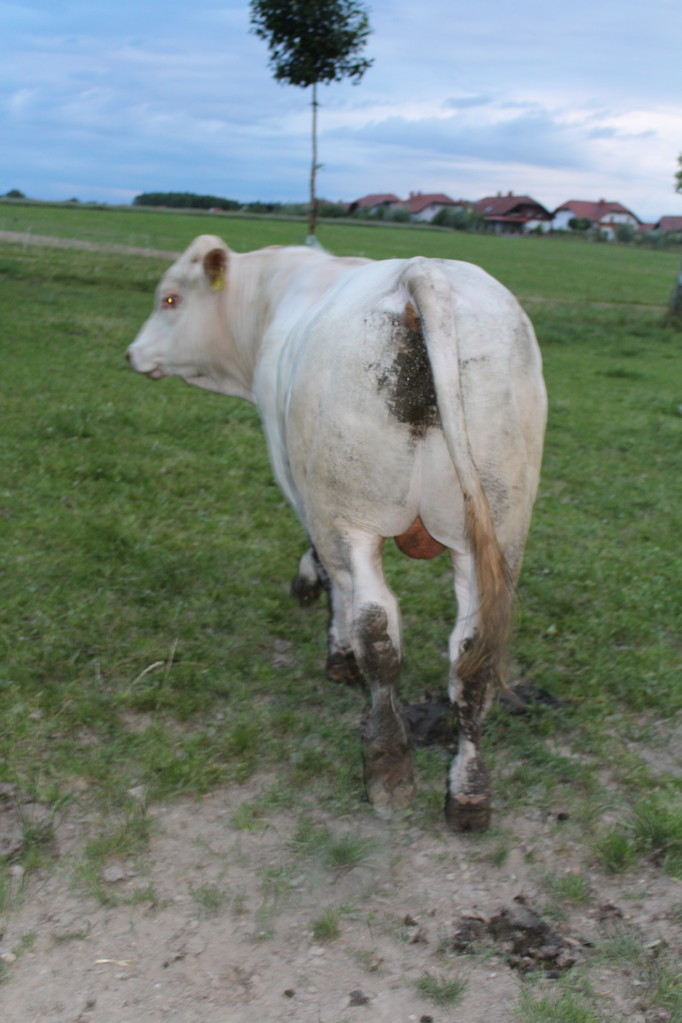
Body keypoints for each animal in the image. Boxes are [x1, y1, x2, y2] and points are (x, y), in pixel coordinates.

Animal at [125, 234, 548, 830]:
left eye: (169, 300)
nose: (132, 354)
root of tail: (423, 273)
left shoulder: (296, 477)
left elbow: (330, 577)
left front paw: (334, 647)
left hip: (352, 514)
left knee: (377, 625)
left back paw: (387, 766)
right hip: (499, 525)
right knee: (471, 654)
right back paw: (468, 793)